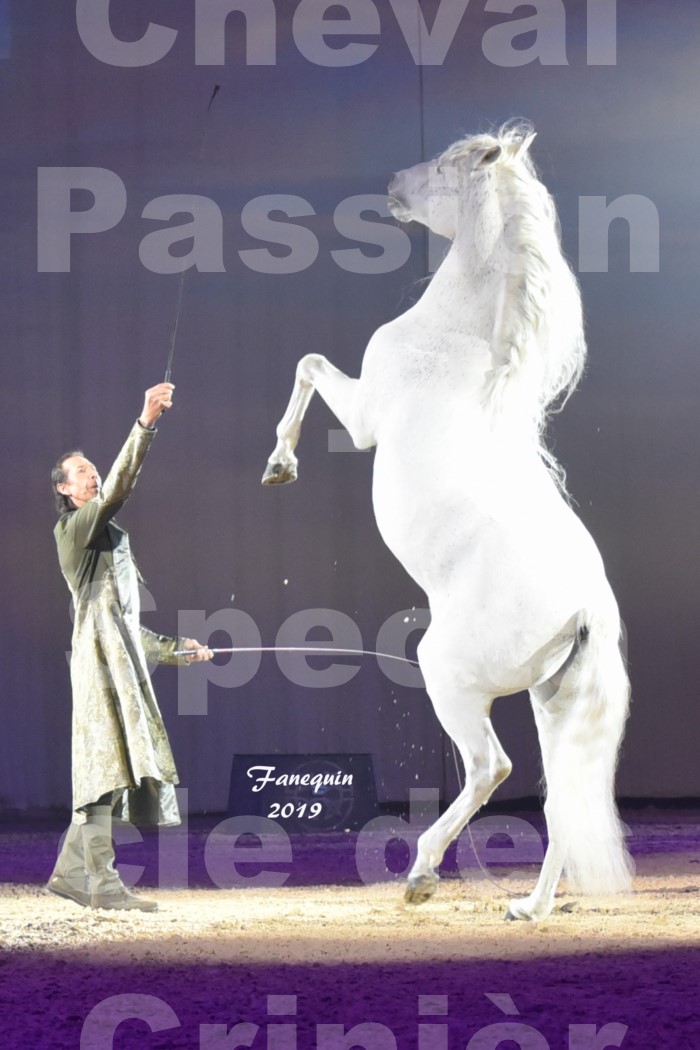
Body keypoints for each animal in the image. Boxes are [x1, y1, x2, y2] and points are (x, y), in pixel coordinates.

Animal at [262, 122, 633, 919]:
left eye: (443, 167)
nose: (393, 187)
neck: (461, 336)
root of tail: (586, 608)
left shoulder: (363, 417)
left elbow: (308, 364)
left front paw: (280, 465)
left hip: (450, 679)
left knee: (491, 768)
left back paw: (423, 872)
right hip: (549, 702)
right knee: (560, 800)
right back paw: (528, 908)